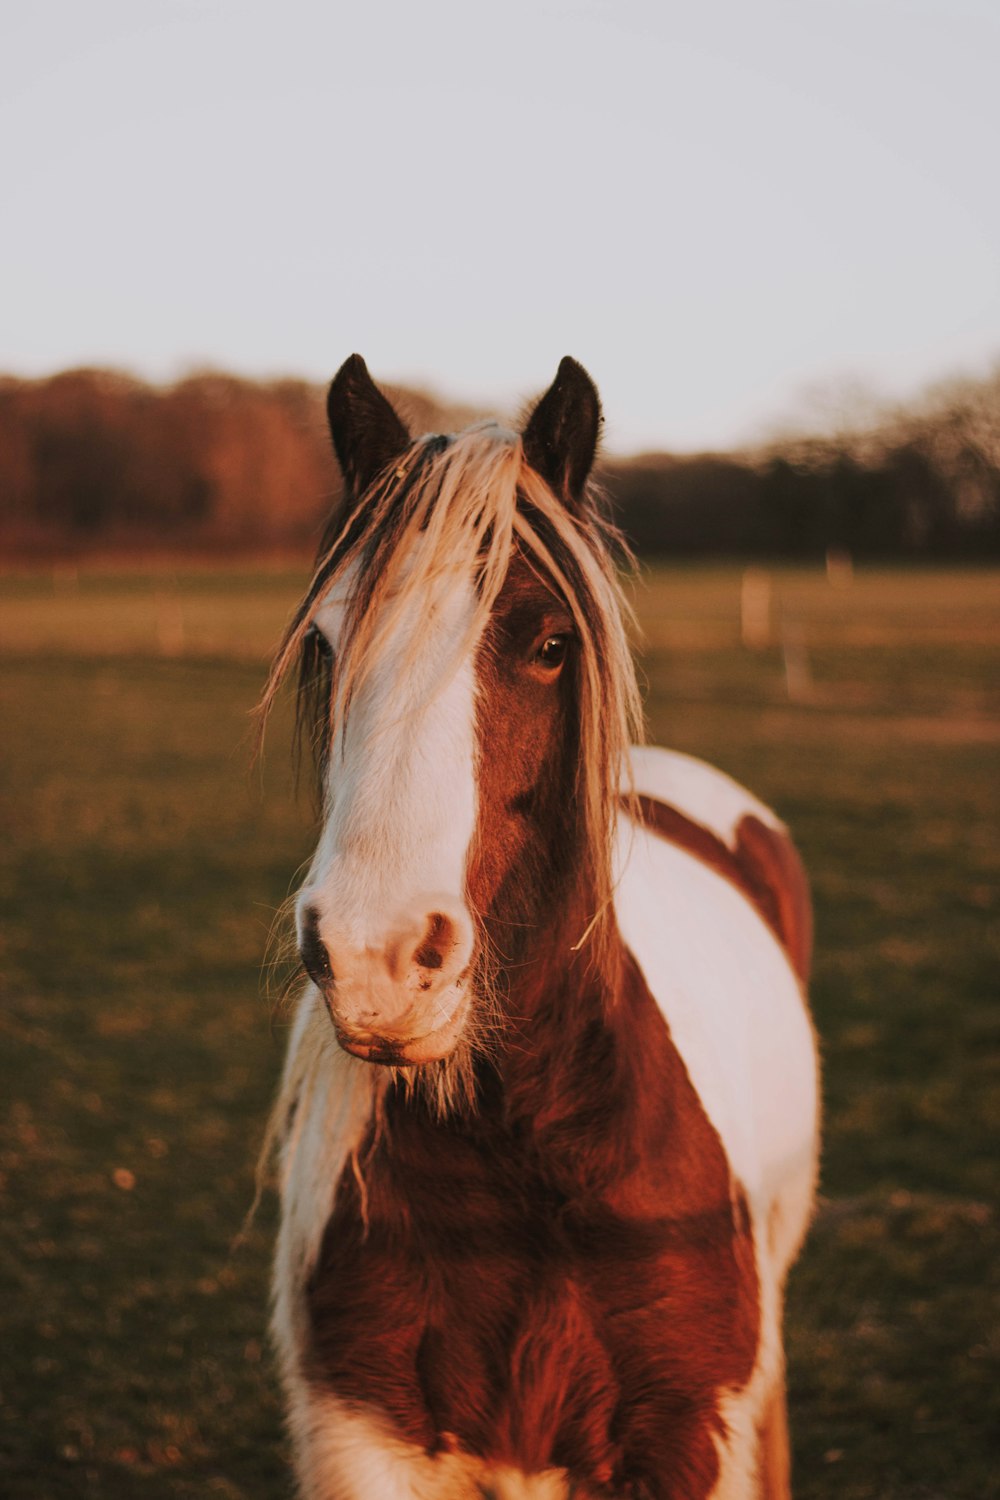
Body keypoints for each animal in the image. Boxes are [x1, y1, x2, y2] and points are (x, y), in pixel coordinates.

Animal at [260, 360, 821, 1500]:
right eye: (326, 646)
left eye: (552, 644)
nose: (377, 958)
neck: (524, 1152)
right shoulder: (362, 1437)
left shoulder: (688, 1440)